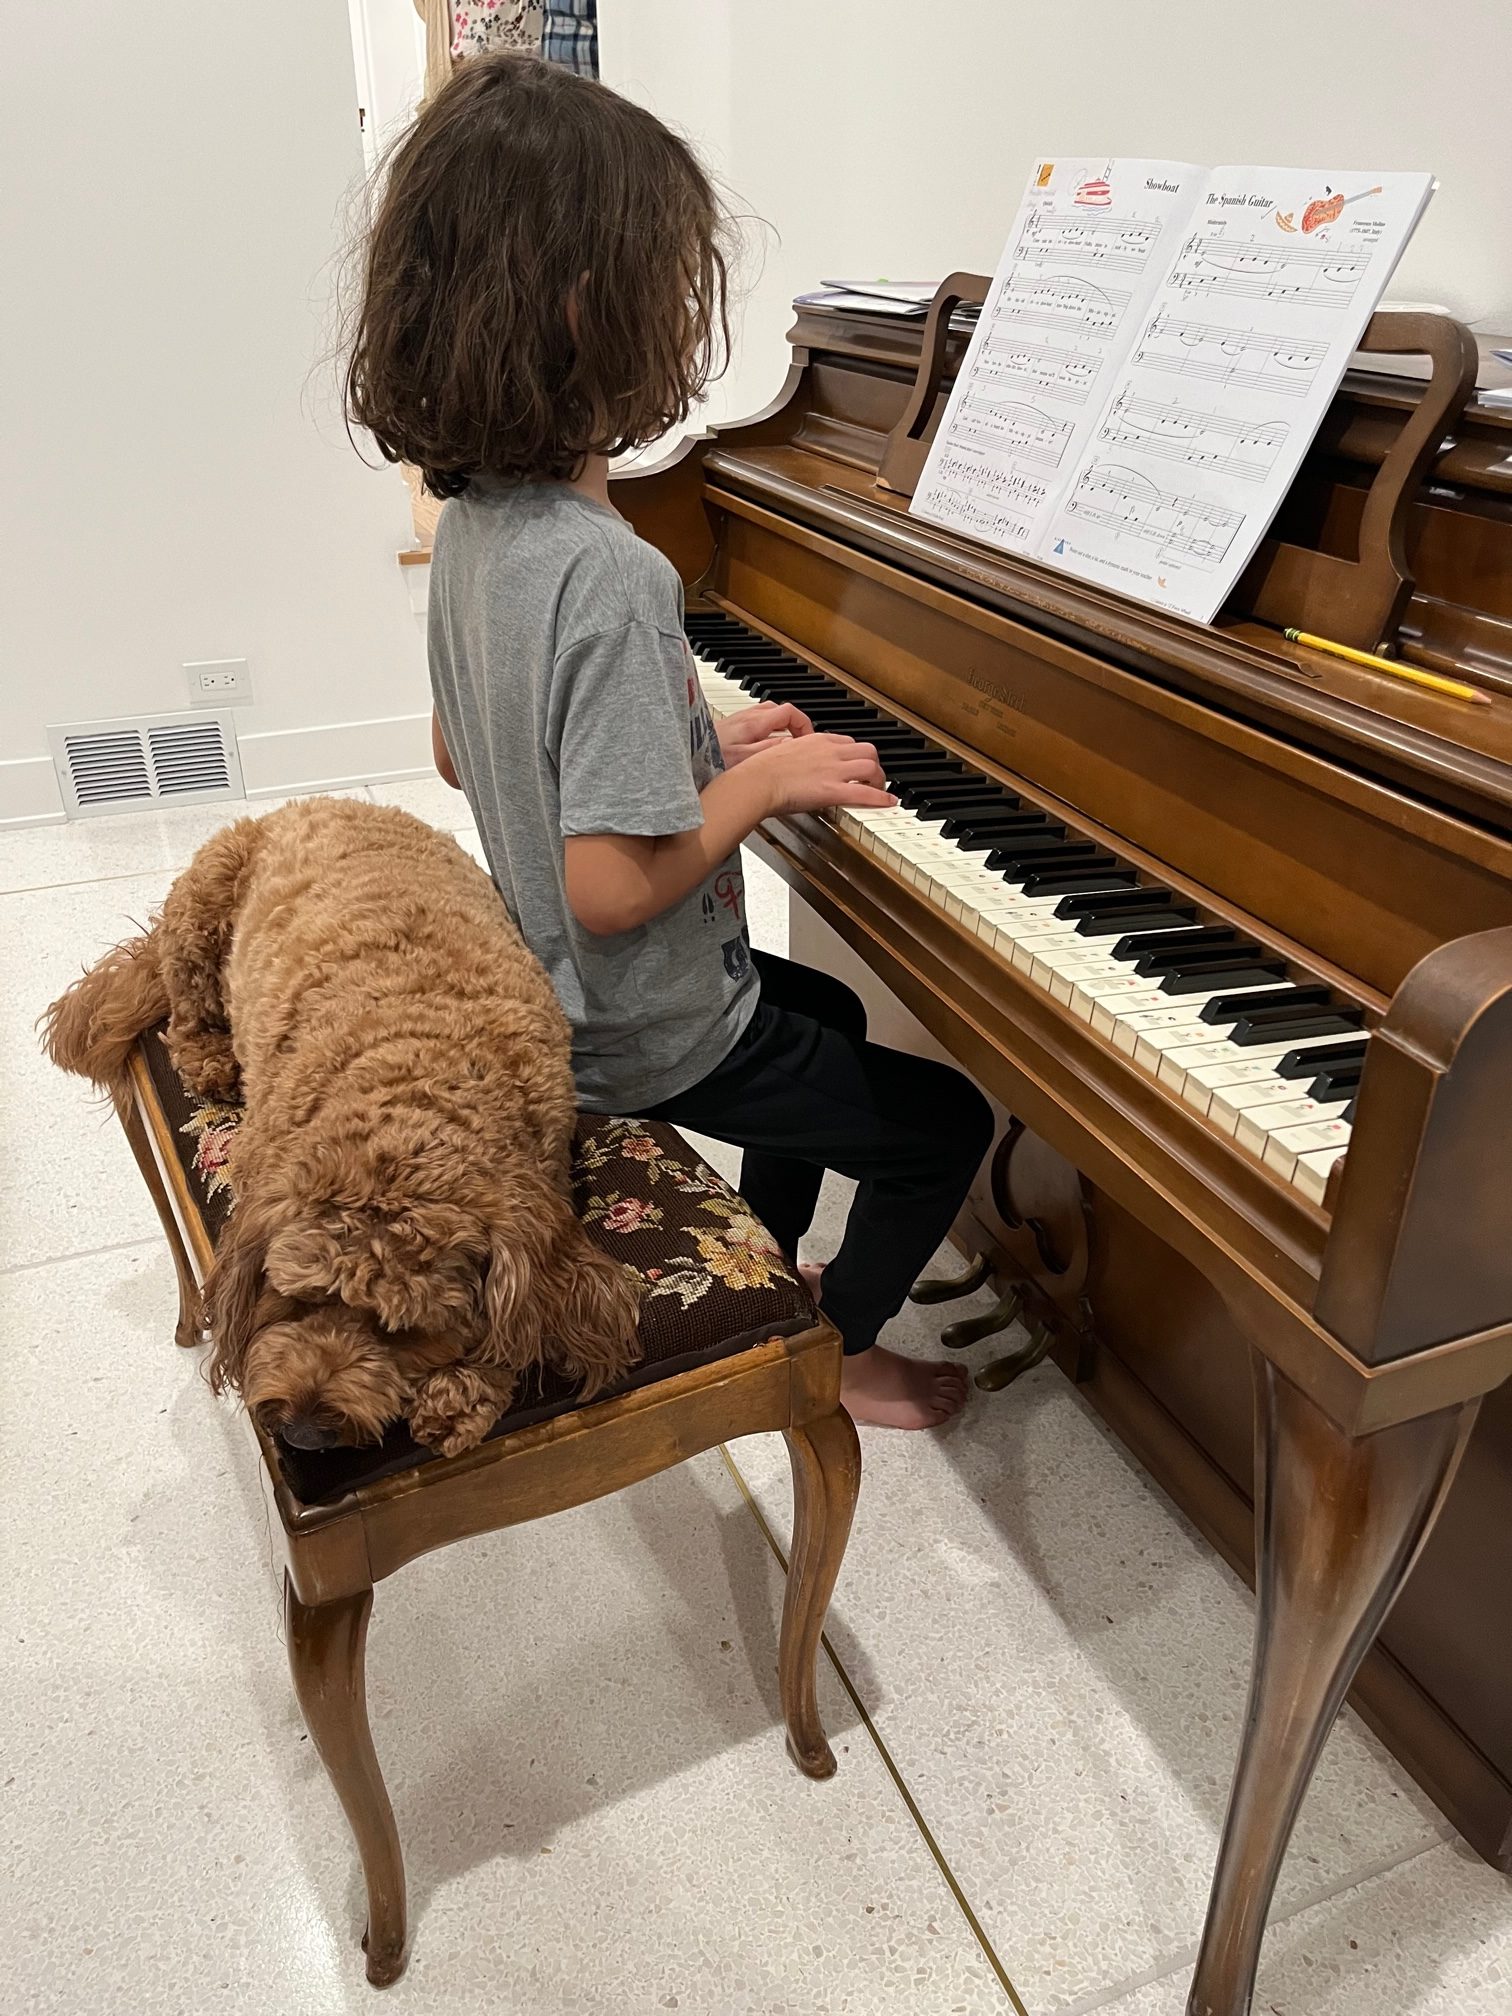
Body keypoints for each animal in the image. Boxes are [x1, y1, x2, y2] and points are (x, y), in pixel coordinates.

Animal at [45, 798, 641, 1451]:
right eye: (295, 1299)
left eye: (404, 1331)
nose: (304, 1432)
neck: (418, 1074)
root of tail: (317, 801)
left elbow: (519, 1322)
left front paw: (463, 1390)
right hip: (201, 914)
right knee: (187, 1012)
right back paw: (210, 1056)